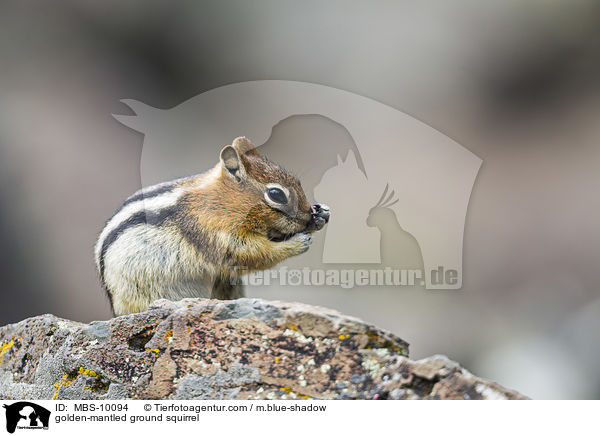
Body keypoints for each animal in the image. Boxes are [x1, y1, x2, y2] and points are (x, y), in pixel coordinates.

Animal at [94, 137, 330, 316]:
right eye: (276, 194)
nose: (307, 218)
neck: (218, 202)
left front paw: (321, 213)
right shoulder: (210, 231)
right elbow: (248, 255)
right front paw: (297, 243)